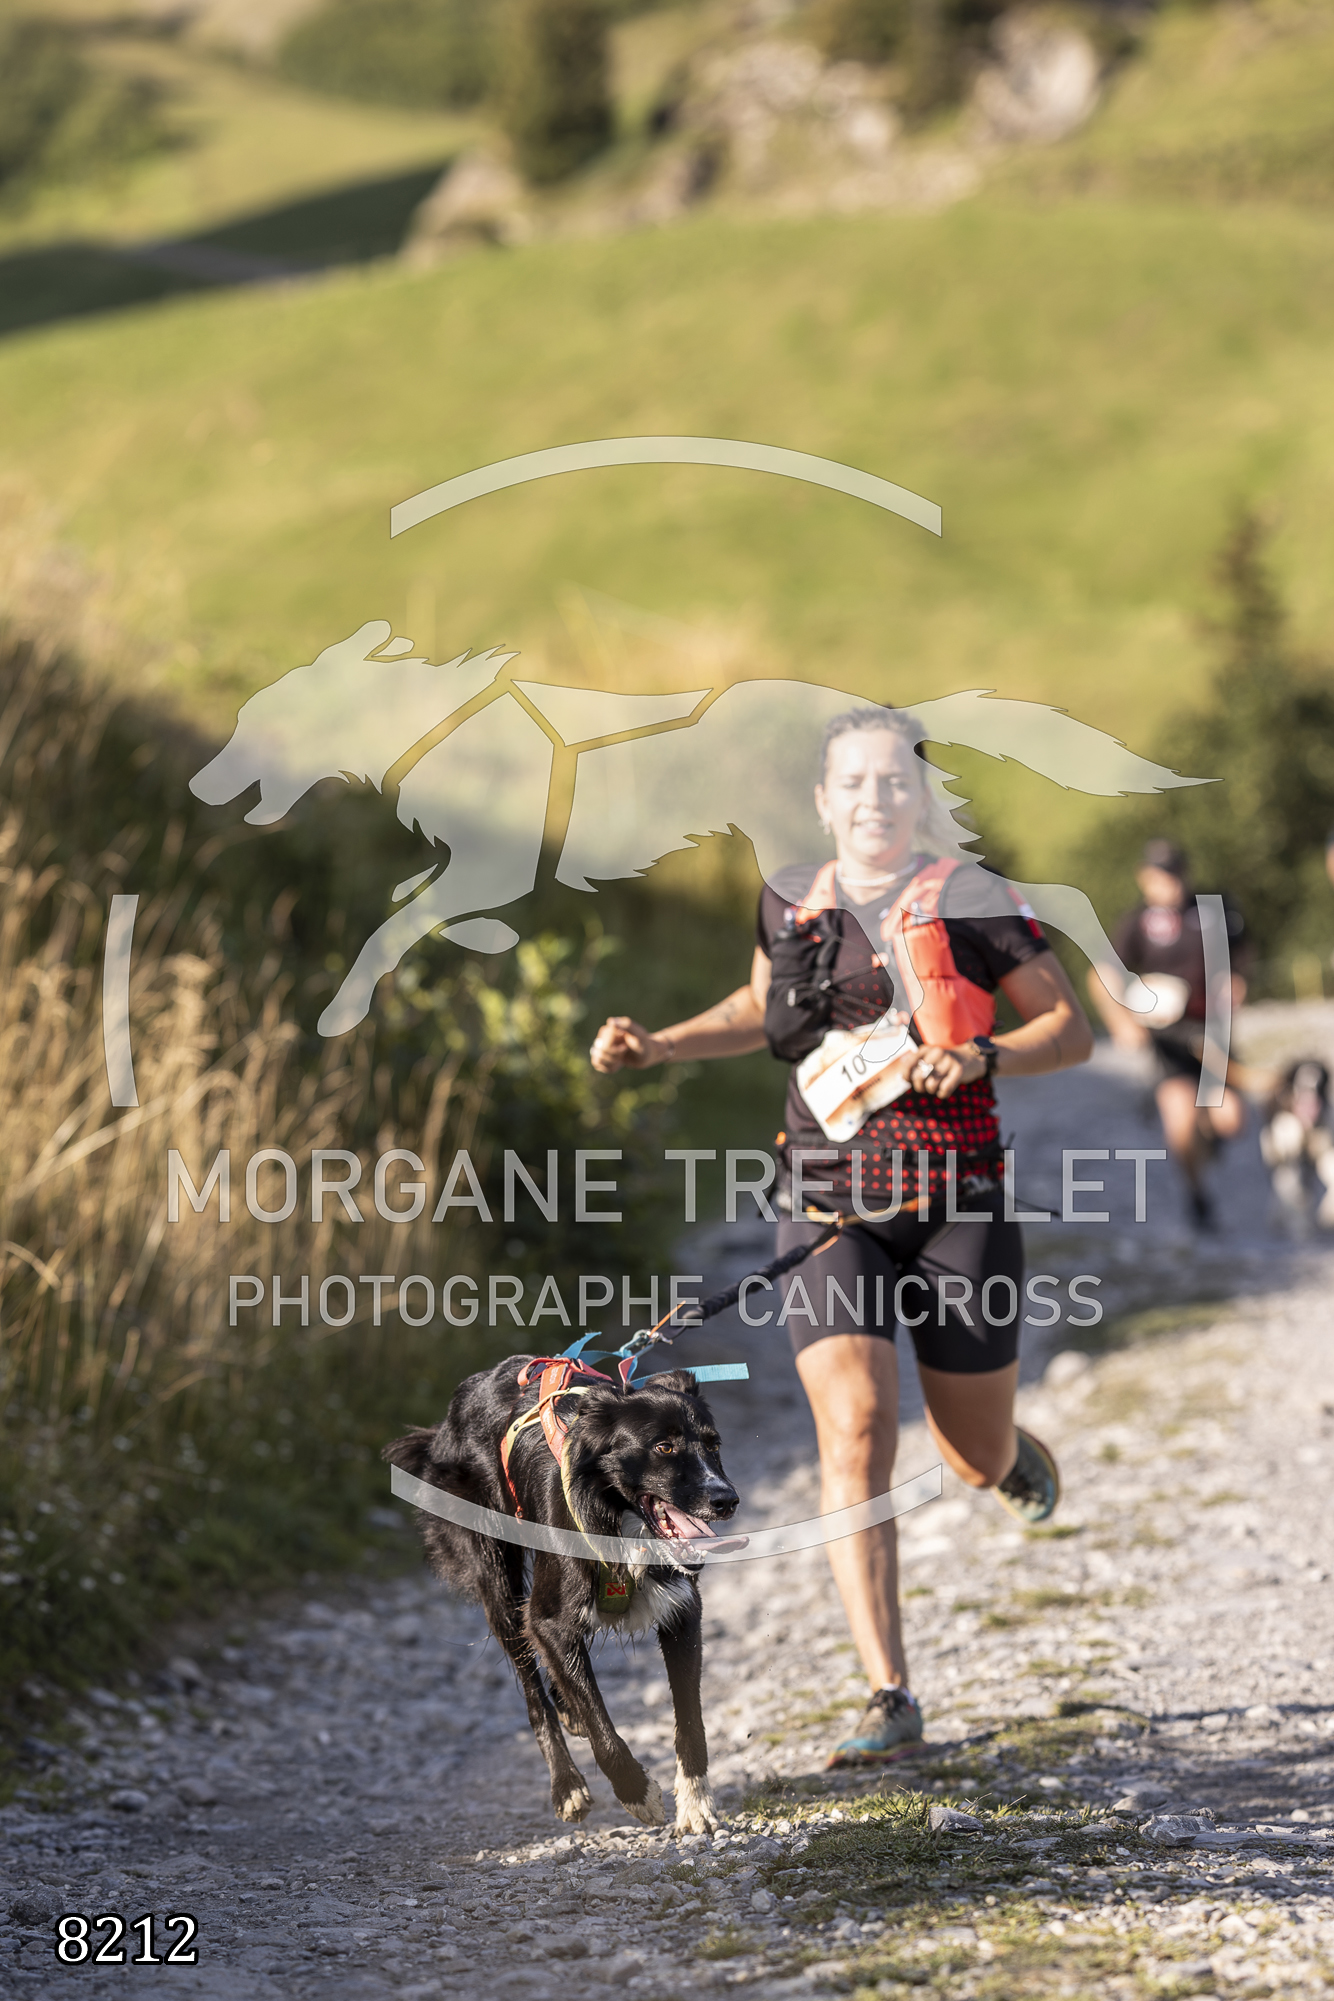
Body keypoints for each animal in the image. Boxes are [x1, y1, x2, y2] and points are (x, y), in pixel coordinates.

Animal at [384, 1356, 739, 1834]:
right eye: (664, 1448)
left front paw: (697, 1802)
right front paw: (637, 1792)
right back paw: (566, 1782)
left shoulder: (682, 1613)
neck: (617, 1519)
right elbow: (597, 1717)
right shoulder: (548, 1620)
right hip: (497, 1578)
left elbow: (690, 1718)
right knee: (533, 1691)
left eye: (713, 1445)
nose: (727, 1499)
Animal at [1260, 1059, 1334, 1233]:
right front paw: (1300, 1226)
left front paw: (1328, 1214)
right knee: (1284, 1184)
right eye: (1299, 1080)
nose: (1309, 1088)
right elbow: (1294, 1187)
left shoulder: (1325, 1146)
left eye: (1320, 1081)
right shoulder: (1290, 1154)